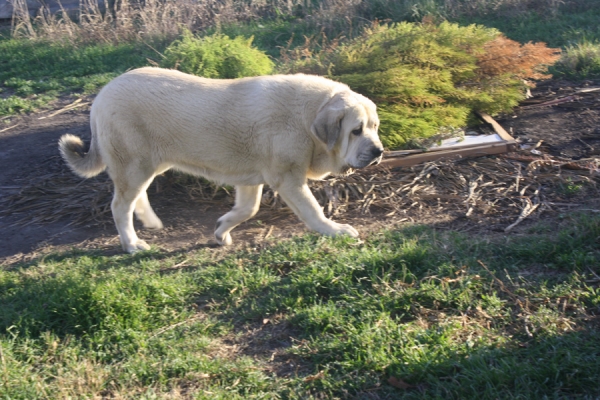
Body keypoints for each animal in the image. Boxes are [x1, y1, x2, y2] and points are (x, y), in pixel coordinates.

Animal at [58, 67, 382, 252]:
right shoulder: (288, 179)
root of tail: (101, 97)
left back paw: (150, 222)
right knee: (120, 206)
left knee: (136, 197)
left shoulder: (251, 180)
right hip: (135, 165)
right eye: (356, 130)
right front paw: (335, 231)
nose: (378, 152)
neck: (308, 118)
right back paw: (132, 243)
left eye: (375, 127)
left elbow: (247, 210)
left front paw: (221, 230)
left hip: (145, 165)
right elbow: (313, 211)